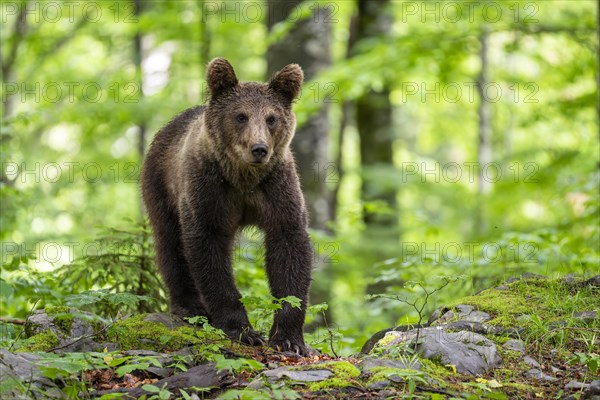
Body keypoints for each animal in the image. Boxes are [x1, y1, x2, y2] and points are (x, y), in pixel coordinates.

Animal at [141, 57, 314, 354]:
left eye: (271, 118)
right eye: (240, 116)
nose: (259, 149)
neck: (242, 176)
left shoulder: (276, 188)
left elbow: (289, 247)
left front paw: (289, 338)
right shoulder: (209, 191)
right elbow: (208, 250)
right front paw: (242, 331)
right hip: (160, 185)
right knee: (170, 243)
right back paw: (189, 306)